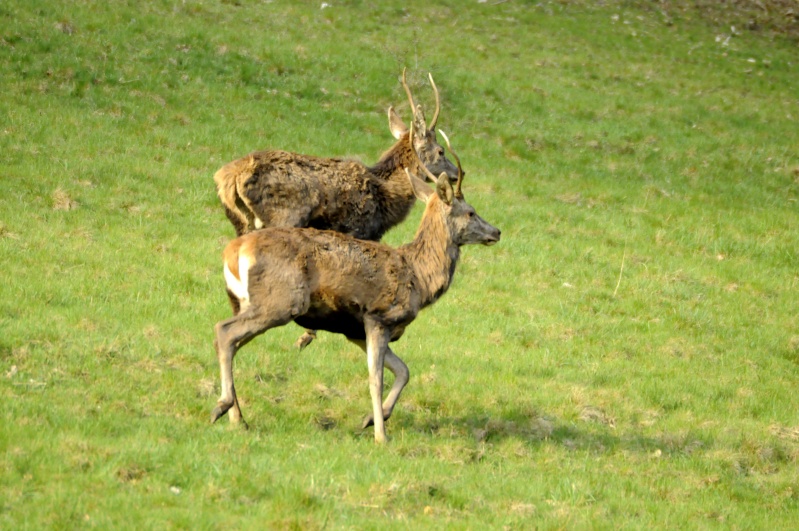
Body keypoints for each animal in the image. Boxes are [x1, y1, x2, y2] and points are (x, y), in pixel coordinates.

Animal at [212, 135, 500, 442]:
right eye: (470, 212)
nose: (496, 231)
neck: (418, 277)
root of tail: (233, 251)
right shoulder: (378, 316)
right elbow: (376, 379)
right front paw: (381, 435)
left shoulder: (355, 331)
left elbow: (404, 371)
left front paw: (371, 419)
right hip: (280, 300)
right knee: (224, 331)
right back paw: (222, 407)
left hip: (246, 302)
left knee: (230, 342)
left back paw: (238, 418)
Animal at [216, 71, 460, 354]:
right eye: (441, 151)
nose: (455, 173)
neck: (386, 195)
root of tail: (229, 177)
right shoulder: (359, 230)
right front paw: (308, 334)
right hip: (282, 217)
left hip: (241, 222)